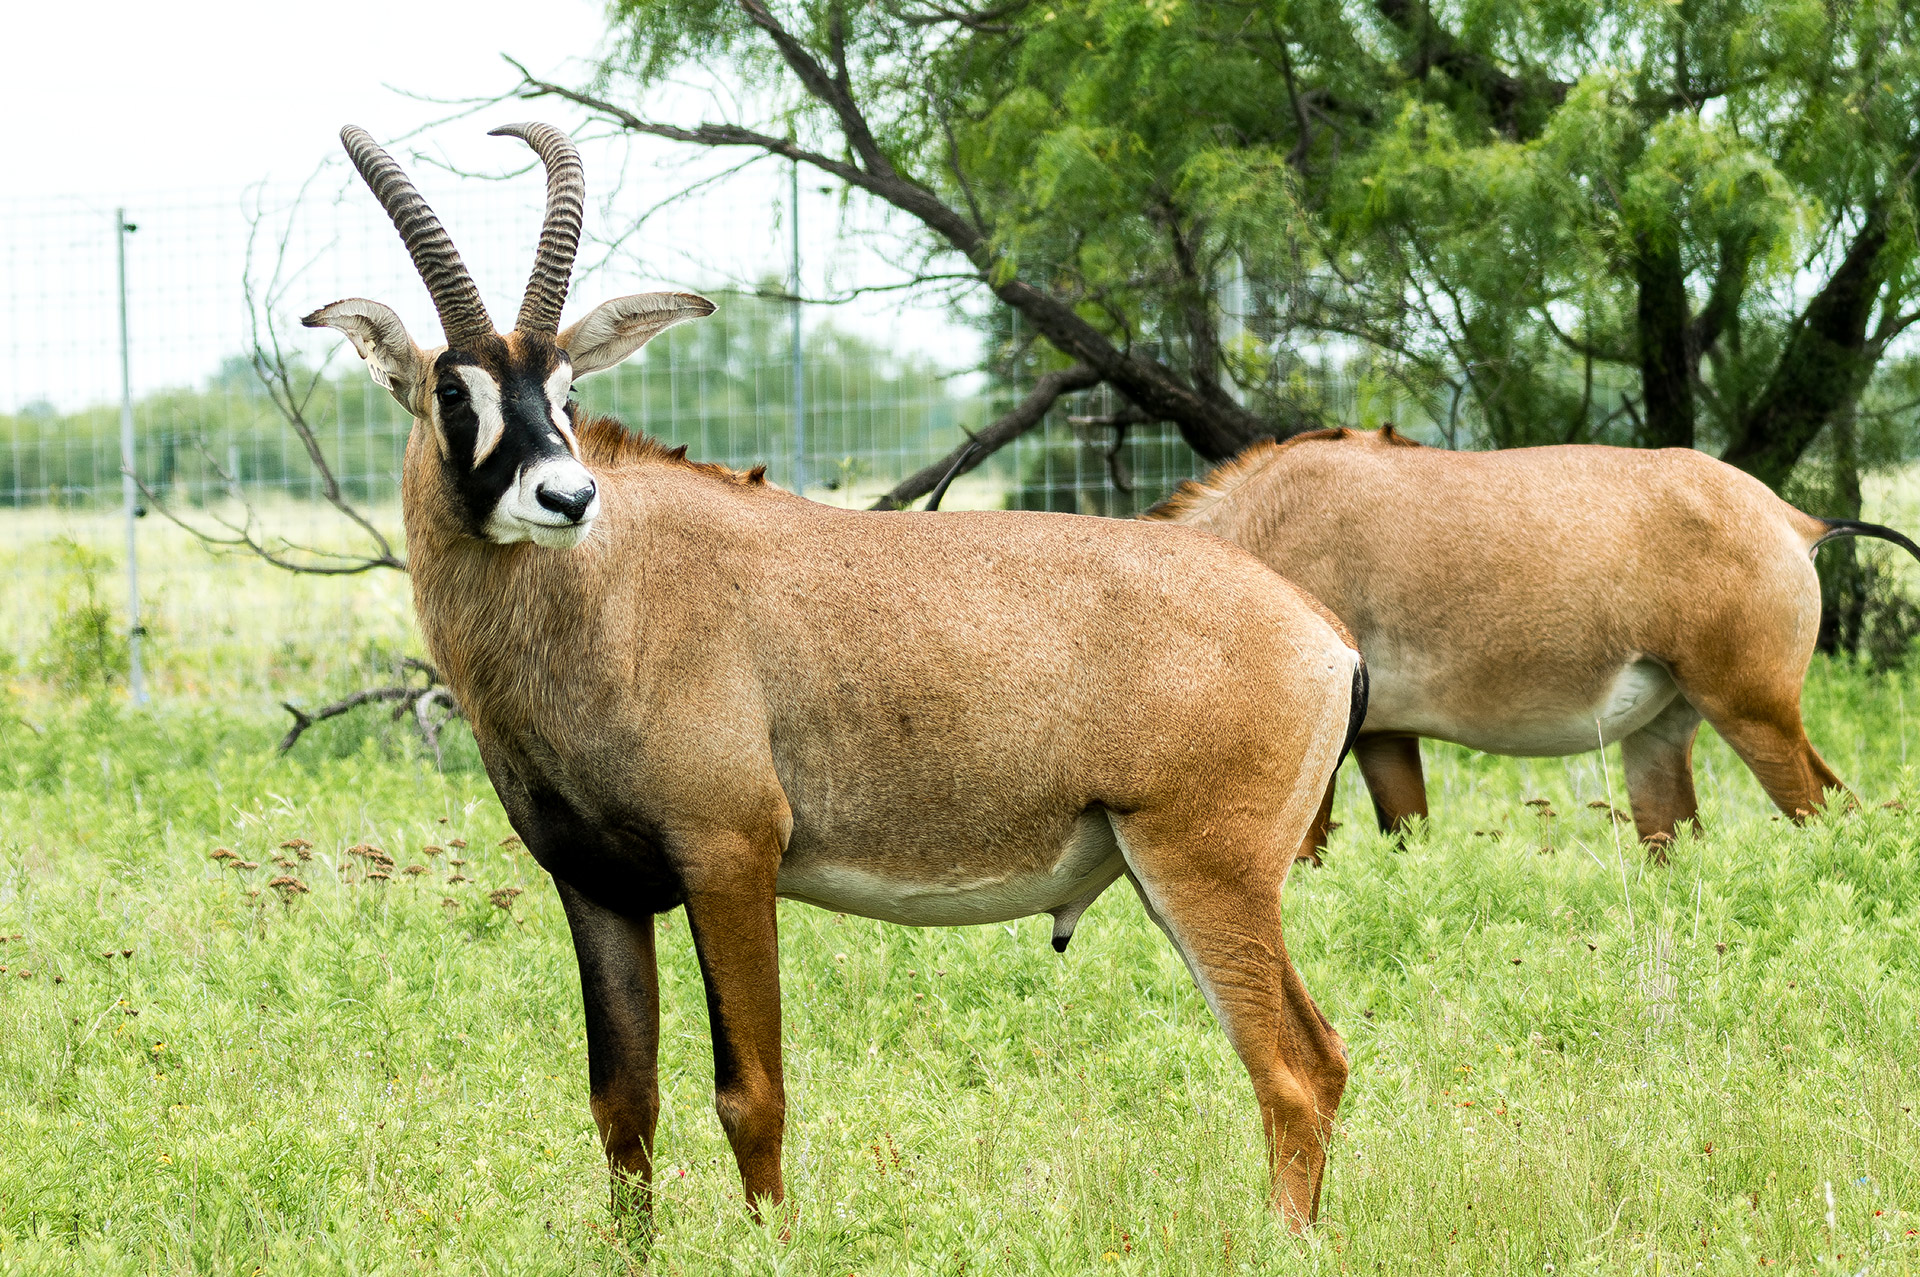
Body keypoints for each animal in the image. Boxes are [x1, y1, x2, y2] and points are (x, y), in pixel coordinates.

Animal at [305, 124, 1367, 1228]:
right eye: (452, 390)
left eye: (566, 391)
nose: (566, 495)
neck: (613, 591)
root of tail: (1323, 633)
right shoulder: (595, 886)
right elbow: (623, 1104)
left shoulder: (730, 857)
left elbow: (751, 1094)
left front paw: (772, 1238)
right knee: (1324, 1055)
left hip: (1204, 870)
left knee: (1289, 1070)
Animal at [1146, 426, 1920, 858]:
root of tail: (1793, 519)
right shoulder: (1385, 737)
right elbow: (1407, 841)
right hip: (1663, 733)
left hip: (1752, 710)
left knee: (1833, 810)